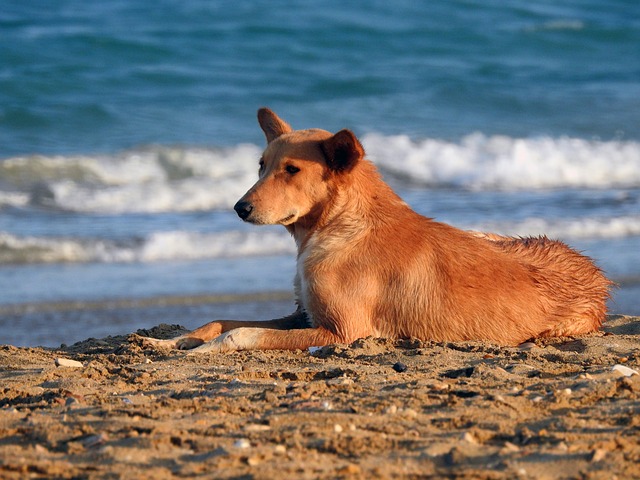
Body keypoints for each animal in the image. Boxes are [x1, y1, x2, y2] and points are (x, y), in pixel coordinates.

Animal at [139, 109, 608, 354]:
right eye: (261, 165)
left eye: (291, 170)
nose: (240, 208)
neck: (340, 228)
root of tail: (598, 276)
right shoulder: (302, 314)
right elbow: (218, 321)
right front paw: (173, 341)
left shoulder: (344, 332)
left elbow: (240, 332)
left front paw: (202, 349)